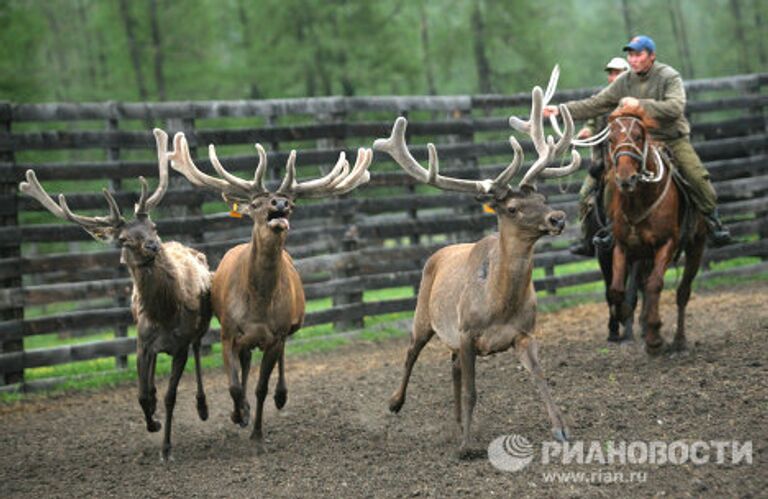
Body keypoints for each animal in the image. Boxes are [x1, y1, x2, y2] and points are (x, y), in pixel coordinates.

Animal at [21, 130, 213, 464]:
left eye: (153, 226)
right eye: (124, 239)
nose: (152, 245)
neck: (164, 313)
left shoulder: (179, 345)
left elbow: (170, 395)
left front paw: (166, 448)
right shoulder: (141, 345)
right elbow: (142, 394)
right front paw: (153, 422)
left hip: (198, 329)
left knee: (200, 350)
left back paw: (203, 408)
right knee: (152, 380)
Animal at [168, 134, 372, 454]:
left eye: (292, 204)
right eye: (255, 203)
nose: (280, 203)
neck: (258, 304)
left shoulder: (275, 335)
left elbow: (261, 386)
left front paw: (257, 432)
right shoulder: (228, 332)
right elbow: (234, 385)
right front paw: (239, 413)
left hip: (288, 327)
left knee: (278, 359)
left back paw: (280, 396)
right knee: (243, 364)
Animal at [374, 77, 584, 458]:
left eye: (542, 198)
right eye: (513, 208)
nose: (558, 218)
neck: (499, 304)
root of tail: (438, 253)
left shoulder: (525, 333)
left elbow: (540, 378)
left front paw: (561, 429)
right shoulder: (468, 332)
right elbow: (474, 391)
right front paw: (467, 447)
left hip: (453, 335)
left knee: (453, 366)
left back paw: (457, 423)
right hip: (424, 315)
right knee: (411, 351)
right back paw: (396, 403)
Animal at [608, 104, 708, 356]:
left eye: (638, 136)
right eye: (611, 139)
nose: (625, 178)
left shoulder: (666, 244)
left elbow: (655, 285)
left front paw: (654, 337)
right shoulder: (622, 247)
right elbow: (617, 289)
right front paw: (625, 318)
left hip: (696, 246)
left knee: (682, 293)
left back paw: (678, 341)